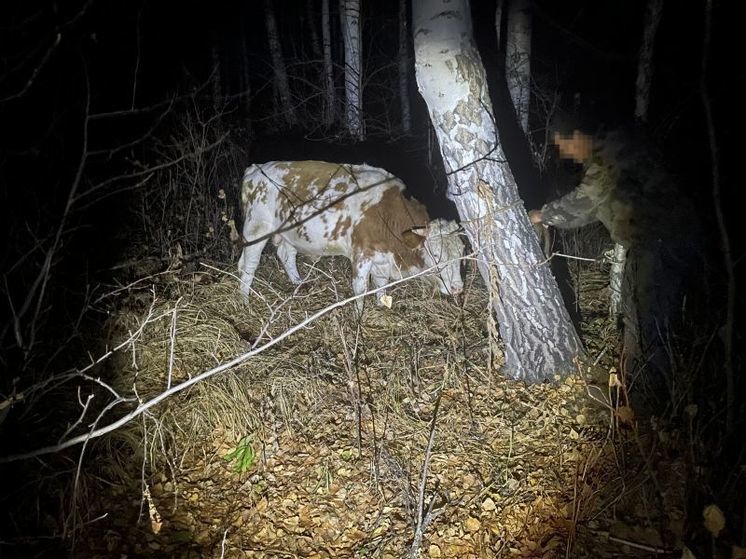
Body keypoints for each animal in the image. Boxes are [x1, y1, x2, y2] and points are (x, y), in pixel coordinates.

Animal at [235, 162, 462, 310]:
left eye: (462, 256)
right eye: (435, 254)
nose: (458, 288)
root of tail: (255, 169)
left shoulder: (382, 259)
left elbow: (381, 286)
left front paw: (381, 307)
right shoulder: (361, 254)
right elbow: (360, 290)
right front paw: (358, 320)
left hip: (290, 232)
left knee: (286, 254)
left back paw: (298, 283)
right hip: (257, 229)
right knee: (249, 265)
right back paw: (244, 301)